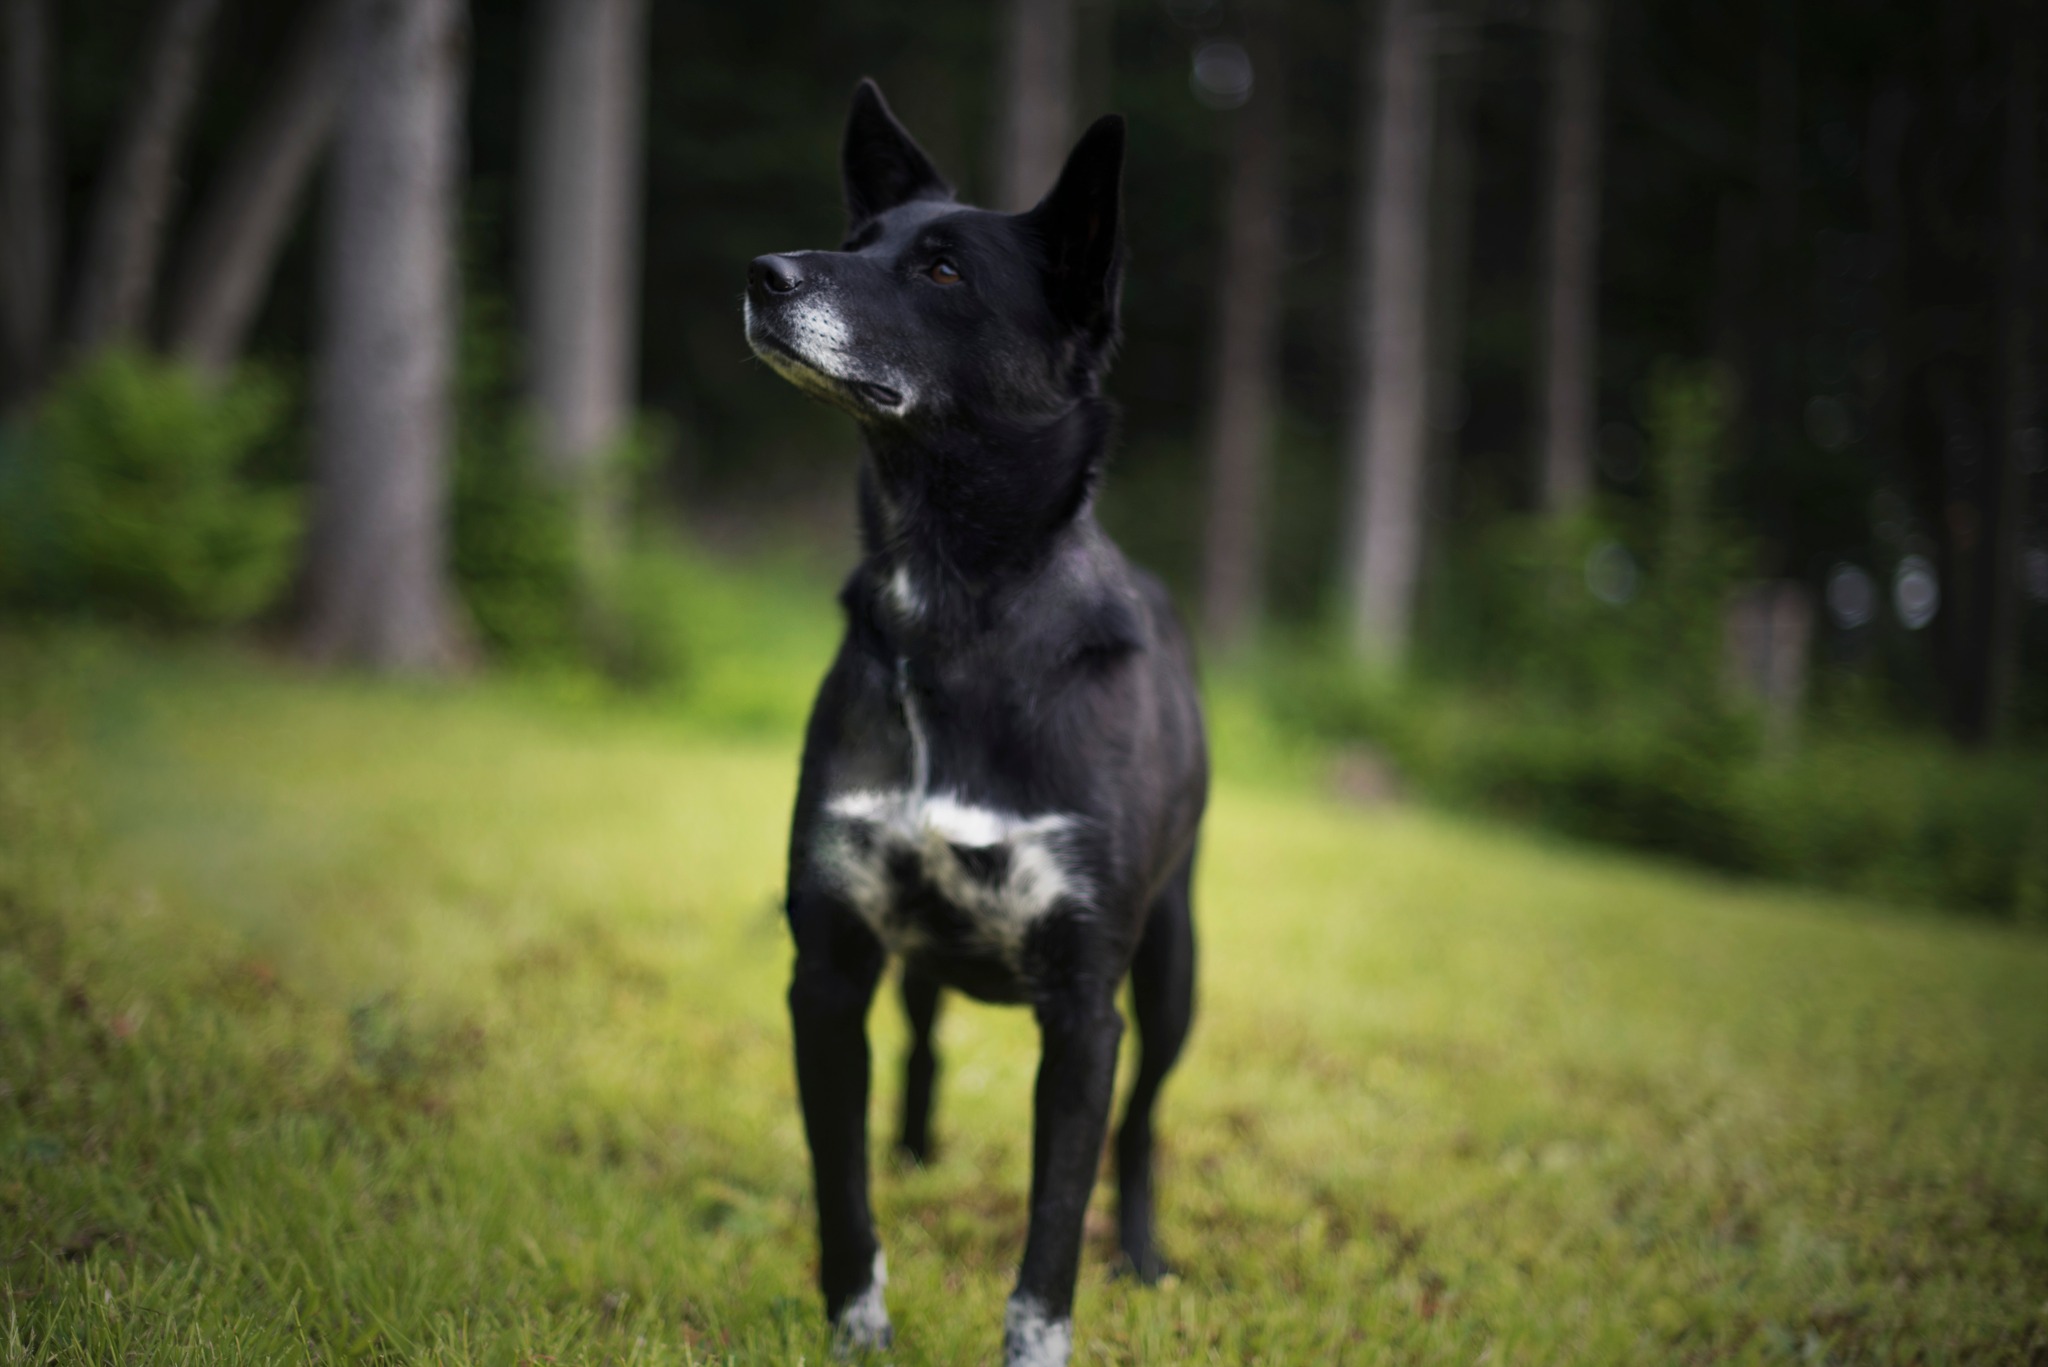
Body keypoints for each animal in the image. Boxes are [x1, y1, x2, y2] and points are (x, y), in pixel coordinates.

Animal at [744, 79, 1208, 1367]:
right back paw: (913, 1149)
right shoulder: (829, 965)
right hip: (919, 957)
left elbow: (1049, 1241)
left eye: (943, 269)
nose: (760, 272)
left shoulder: (1085, 1009)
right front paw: (858, 1326)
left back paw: (1143, 1252)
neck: (957, 607)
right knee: (922, 1039)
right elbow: (839, 1190)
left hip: (1172, 968)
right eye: (855, 242)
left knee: (1141, 1126)